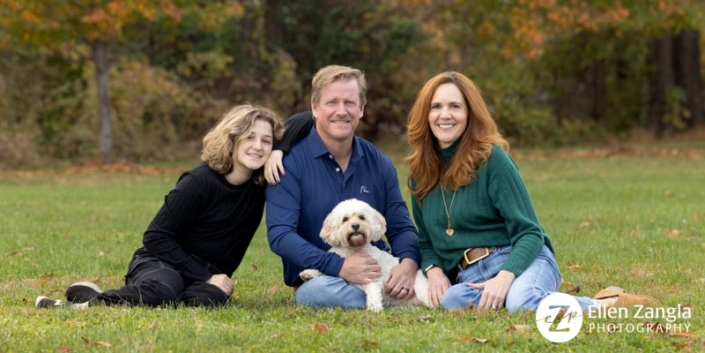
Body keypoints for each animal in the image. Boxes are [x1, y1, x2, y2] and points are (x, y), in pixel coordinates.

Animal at [298, 198, 428, 310]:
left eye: (362, 217)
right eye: (345, 219)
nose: (355, 225)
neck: (354, 249)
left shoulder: (372, 275)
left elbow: (373, 290)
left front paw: (374, 307)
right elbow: (326, 269)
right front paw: (309, 273)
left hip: (420, 289)